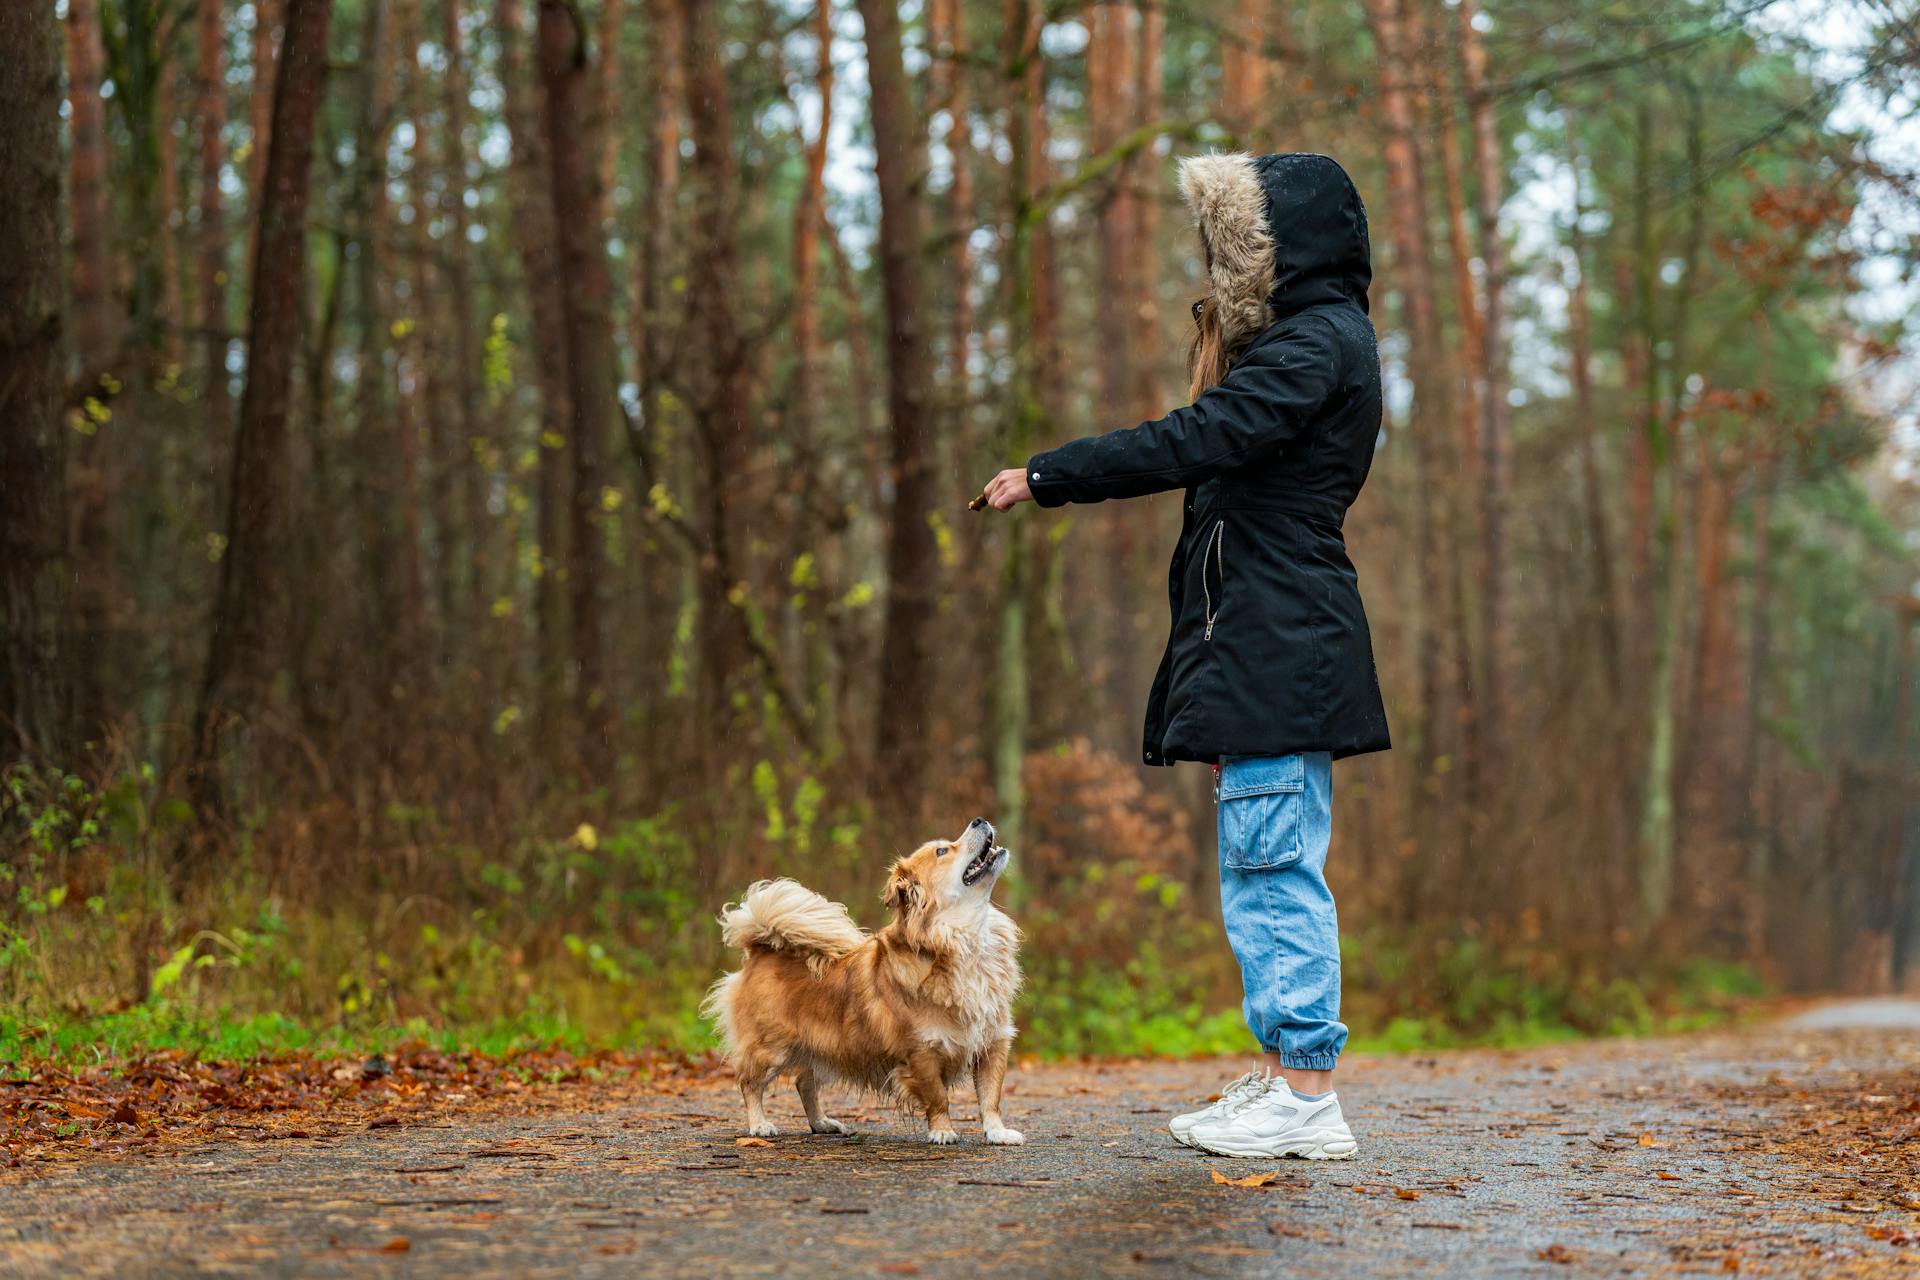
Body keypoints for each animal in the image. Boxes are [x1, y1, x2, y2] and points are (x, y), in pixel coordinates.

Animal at [706, 825, 1029, 1143]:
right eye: (941, 851)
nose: (979, 821)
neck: (966, 939)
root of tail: (761, 948)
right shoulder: (921, 1053)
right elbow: (939, 1098)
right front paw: (942, 1130)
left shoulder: (992, 1043)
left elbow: (990, 1096)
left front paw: (997, 1132)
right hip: (770, 1049)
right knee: (750, 1083)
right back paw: (759, 1124)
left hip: (822, 1049)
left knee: (803, 1082)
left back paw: (821, 1123)